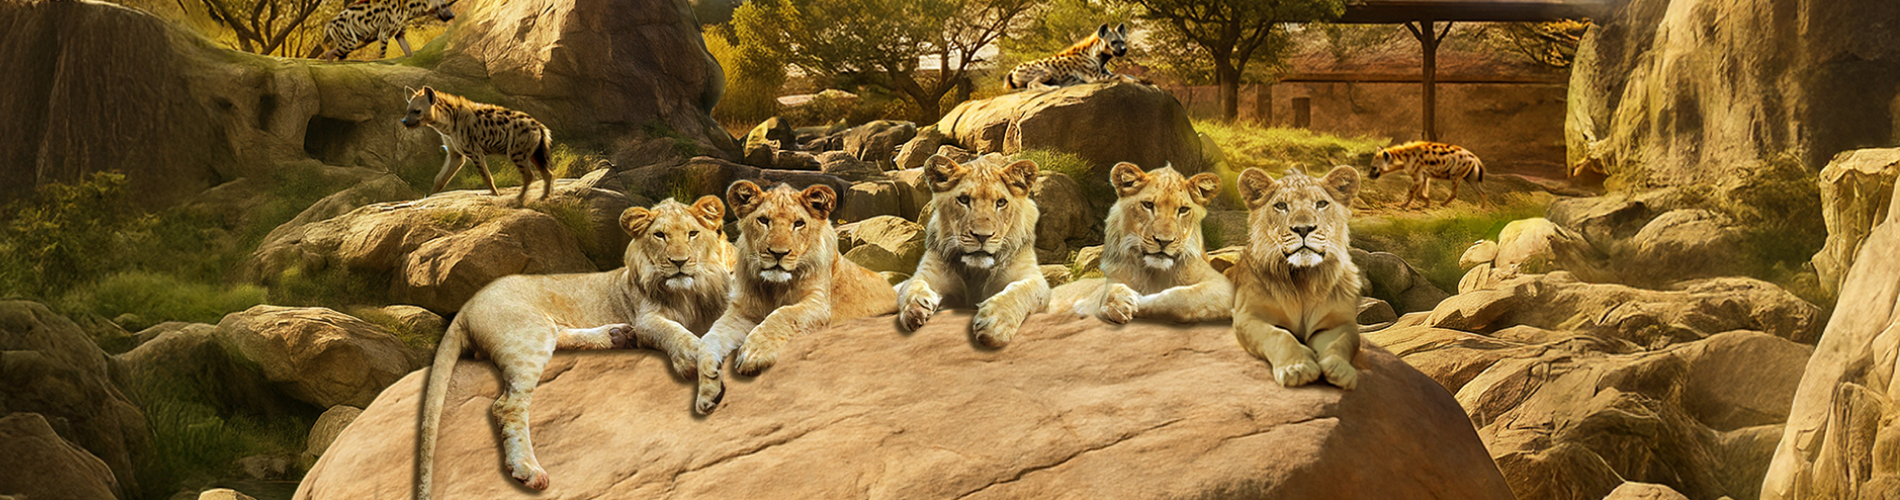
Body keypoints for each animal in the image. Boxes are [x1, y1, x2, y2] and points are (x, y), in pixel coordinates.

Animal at [415, 197, 733, 498]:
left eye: (692, 233)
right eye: (660, 235)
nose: (679, 262)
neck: (692, 292)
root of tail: (465, 306)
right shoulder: (645, 318)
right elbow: (676, 332)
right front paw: (703, 374)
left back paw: (617, 335)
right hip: (529, 335)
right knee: (506, 406)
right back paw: (527, 469)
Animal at [693, 181, 898, 414]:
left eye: (798, 224)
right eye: (763, 220)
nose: (778, 253)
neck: (774, 286)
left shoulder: (819, 305)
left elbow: (783, 314)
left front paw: (754, 354)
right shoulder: (741, 312)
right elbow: (708, 339)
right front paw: (707, 389)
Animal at [896, 153, 1050, 347]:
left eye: (1001, 202)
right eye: (963, 200)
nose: (982, 236)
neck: (976, 271)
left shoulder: (1034, 280)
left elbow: (1019, 292)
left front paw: (995, 324)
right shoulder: (929, 272)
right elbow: (912, 285)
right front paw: (915, 308)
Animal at [1047, 162, 1233, 323]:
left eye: (1183, 210)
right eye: (1148, 205)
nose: (1164, 241)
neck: (1154, 272)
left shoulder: (1222, 286)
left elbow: (1180, 298)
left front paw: (1137, 301)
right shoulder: (1115, 277)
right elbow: (1110, 290)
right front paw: (1116, 303)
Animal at [1229, 166, 1364, 390]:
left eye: (1321, 204)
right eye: (1281, 205)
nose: (1303, 229)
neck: (1304, 280)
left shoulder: (1339, 323)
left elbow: (1342, 342)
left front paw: (1340, 370)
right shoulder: (1248, 317)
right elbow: (1279, 335)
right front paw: (1297, 368)